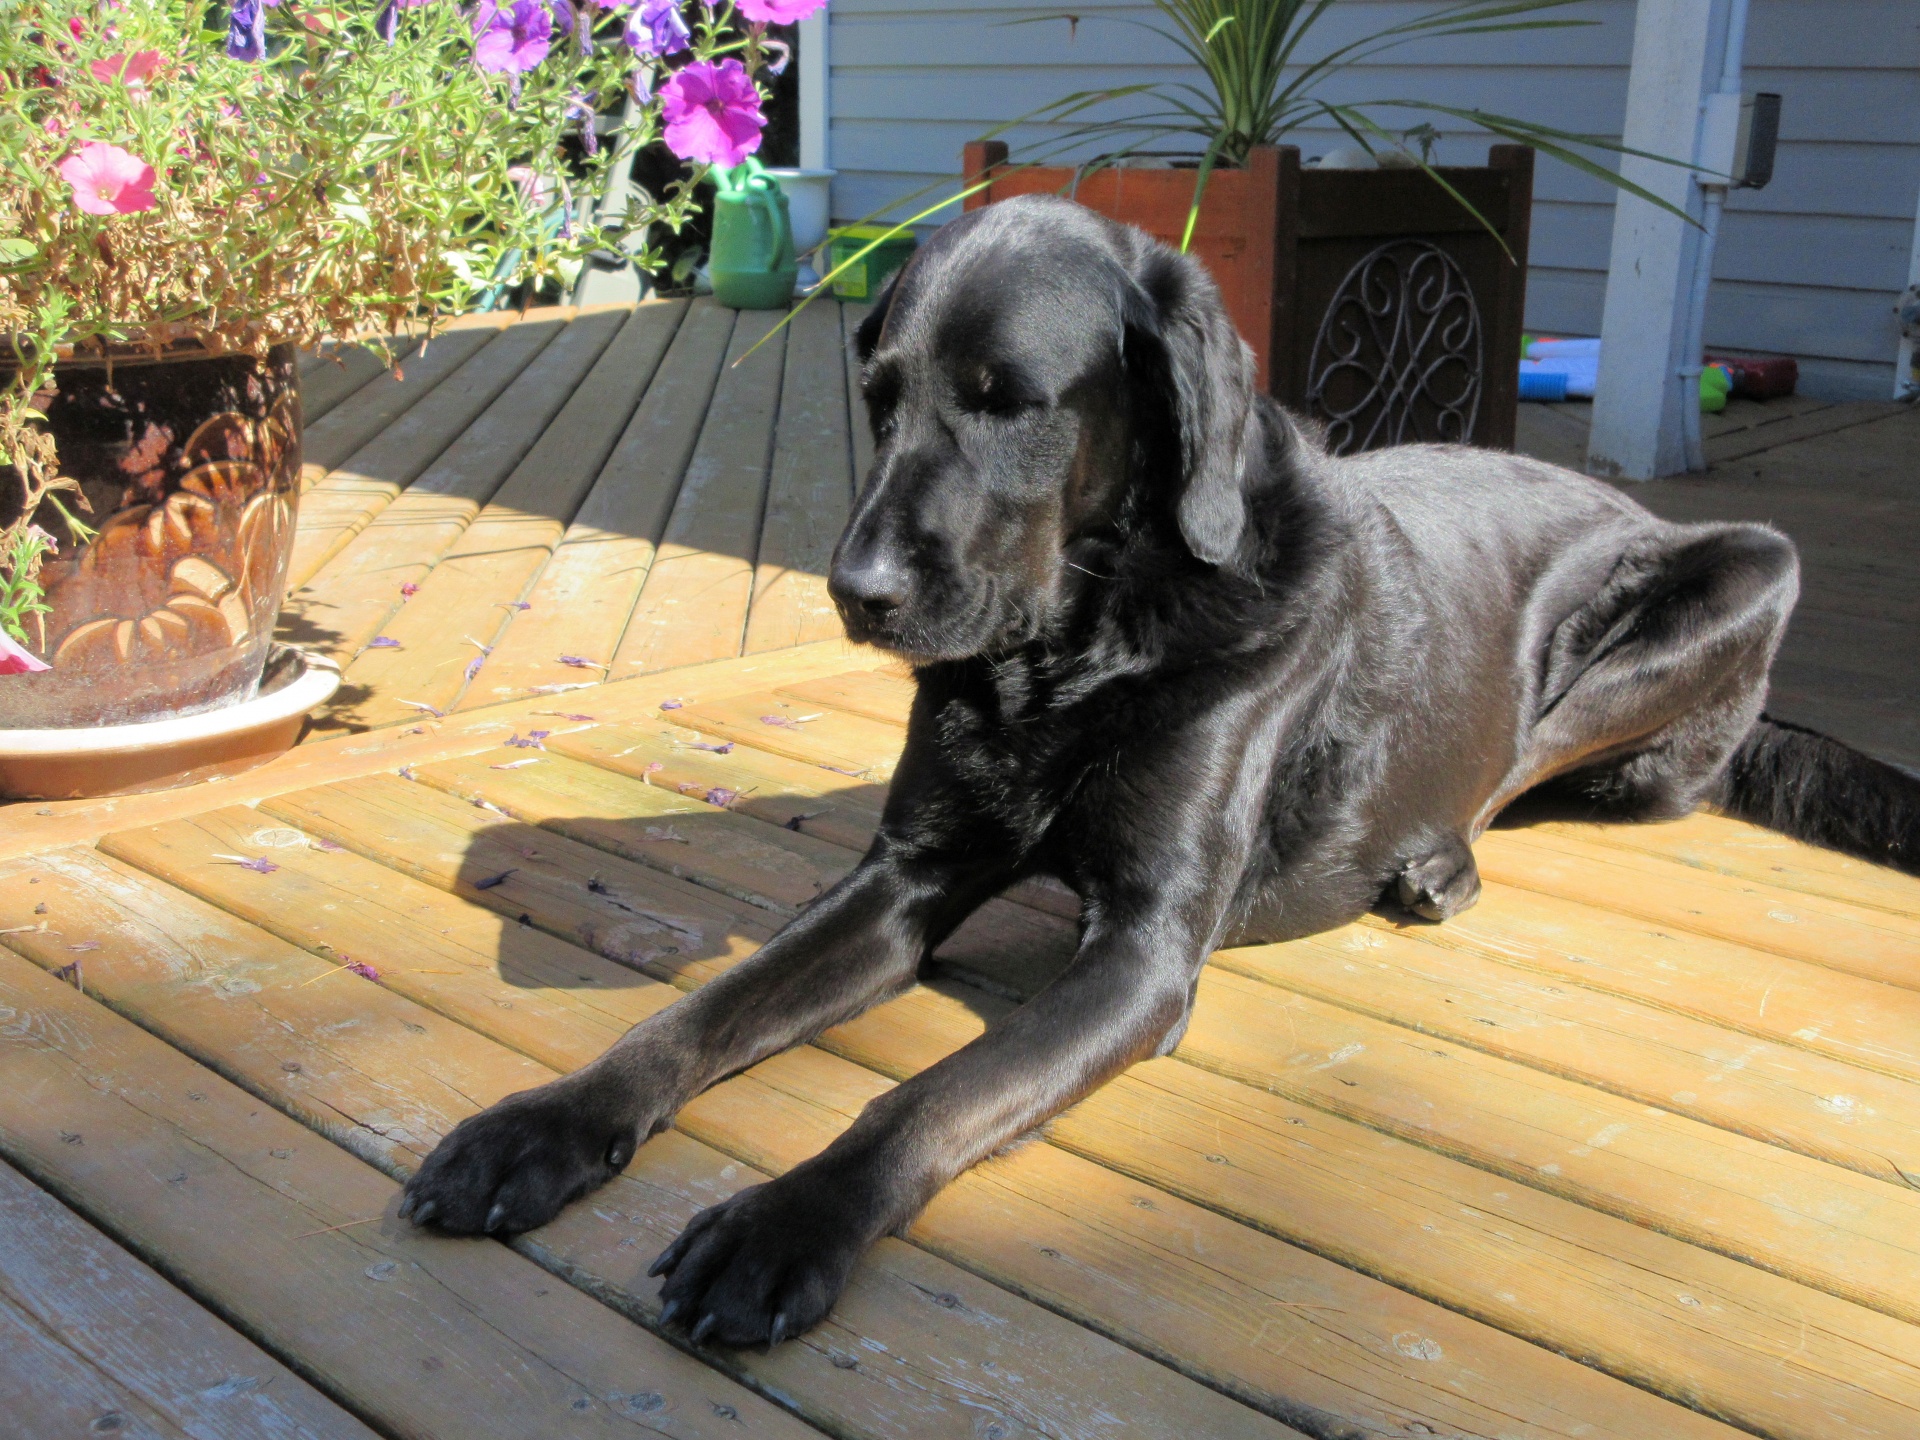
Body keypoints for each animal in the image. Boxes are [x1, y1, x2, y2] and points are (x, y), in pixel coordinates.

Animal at [401, 194, 1920, 1351]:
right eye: (879, 400)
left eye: (1008, 402)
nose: (854, 593)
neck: (1075, 654)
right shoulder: (903, 882)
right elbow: (701, 1012)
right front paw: (543, 1124)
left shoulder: (1142, 953)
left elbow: (921, 1098)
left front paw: (783, 1225)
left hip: (1740, 573)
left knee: (1522, 764)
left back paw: (1437, 859)